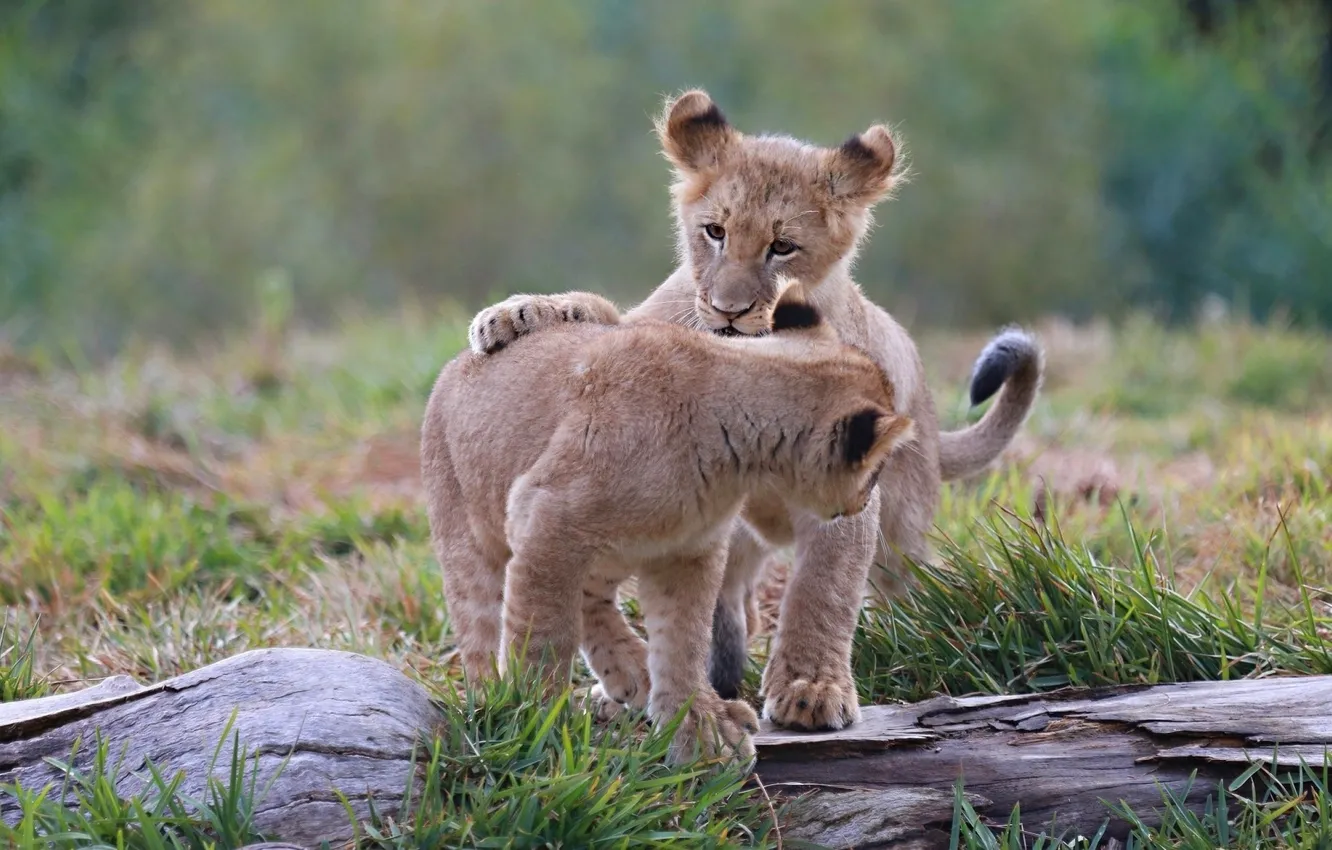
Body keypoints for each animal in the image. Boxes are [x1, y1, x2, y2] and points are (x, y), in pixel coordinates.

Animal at [421, 299, 916, 763]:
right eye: (874, 471)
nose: (863, 502)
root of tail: (451, 366)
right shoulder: (545, 515)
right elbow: (544, 635)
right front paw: (536, 720)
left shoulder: (688, 550)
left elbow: (682, 640)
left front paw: (700, 729)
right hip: (469, 535)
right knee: (480, 624)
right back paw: (492, 702)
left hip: (609, 554)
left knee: (591, 601)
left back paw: (635, 675)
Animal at [464, 89, 1044, 733]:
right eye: (714, 231)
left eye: (782, 246)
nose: (729, 310)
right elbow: (600, 313)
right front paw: (514, 315)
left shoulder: (847, 477)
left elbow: (824, 588)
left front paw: (812, 689)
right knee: (729, 598)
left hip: (903, 529)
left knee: (906, 582)